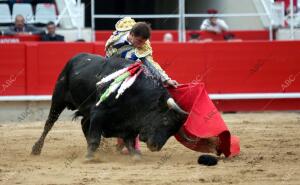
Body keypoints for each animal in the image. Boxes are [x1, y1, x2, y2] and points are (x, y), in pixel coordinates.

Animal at [32, 52, 188, 160]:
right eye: (165, 120)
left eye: (174, 130)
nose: (155, 147)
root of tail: (74, 58)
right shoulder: (98, 112)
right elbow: (95, 137)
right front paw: (89, 157)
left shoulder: (131, 122)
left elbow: (130, 142)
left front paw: (135, 155)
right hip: (58, 97)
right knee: (49, 123)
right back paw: (36, 149)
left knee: (83, 123)